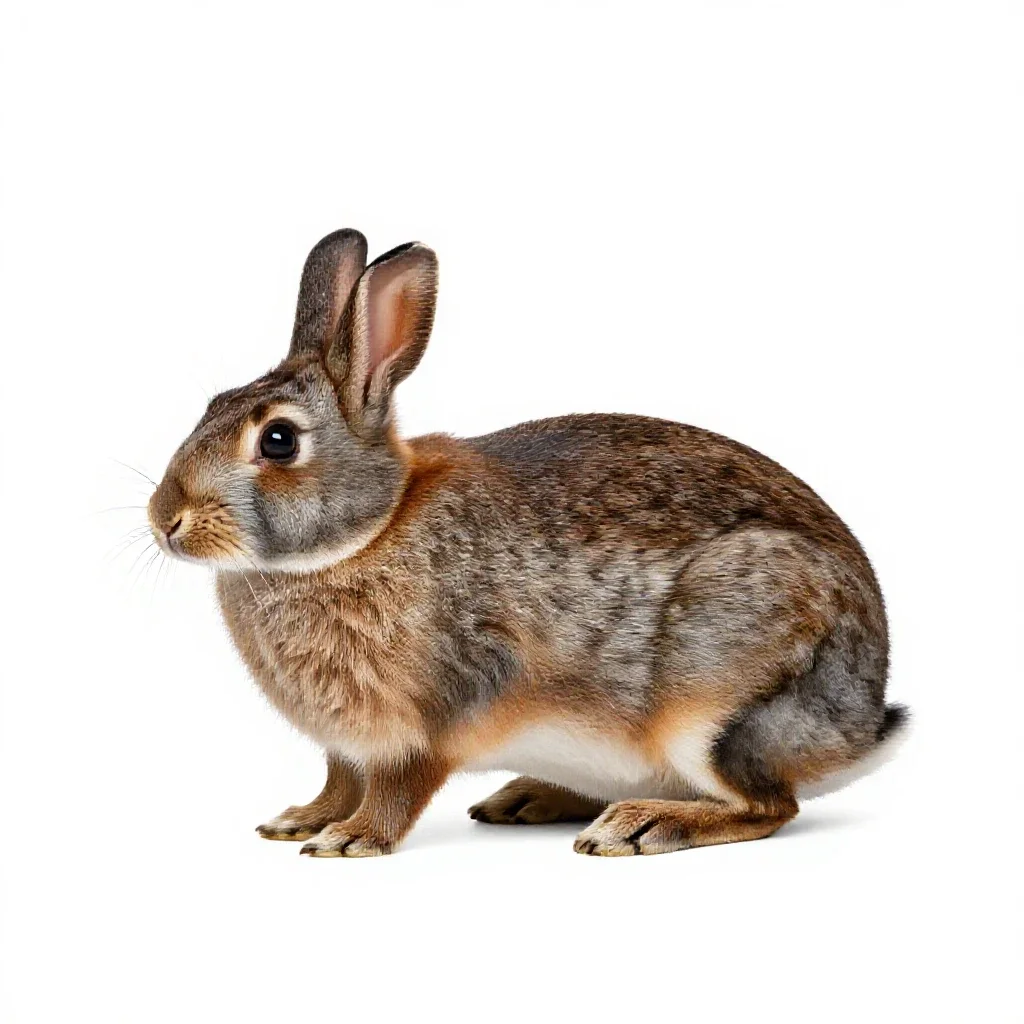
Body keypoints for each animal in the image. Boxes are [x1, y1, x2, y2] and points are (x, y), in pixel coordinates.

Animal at [147, 228, 908, 857]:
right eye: (212, 407)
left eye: (278, 440)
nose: (164, 518)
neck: (368, 530)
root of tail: (861, 728)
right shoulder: (346, 743)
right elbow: (339, 778)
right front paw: (300, 819)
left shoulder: (435, 714)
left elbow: (397, 788)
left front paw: (350, 839)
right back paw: (531, 798)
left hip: (717, 701)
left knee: (766, 805)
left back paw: (639, 825)